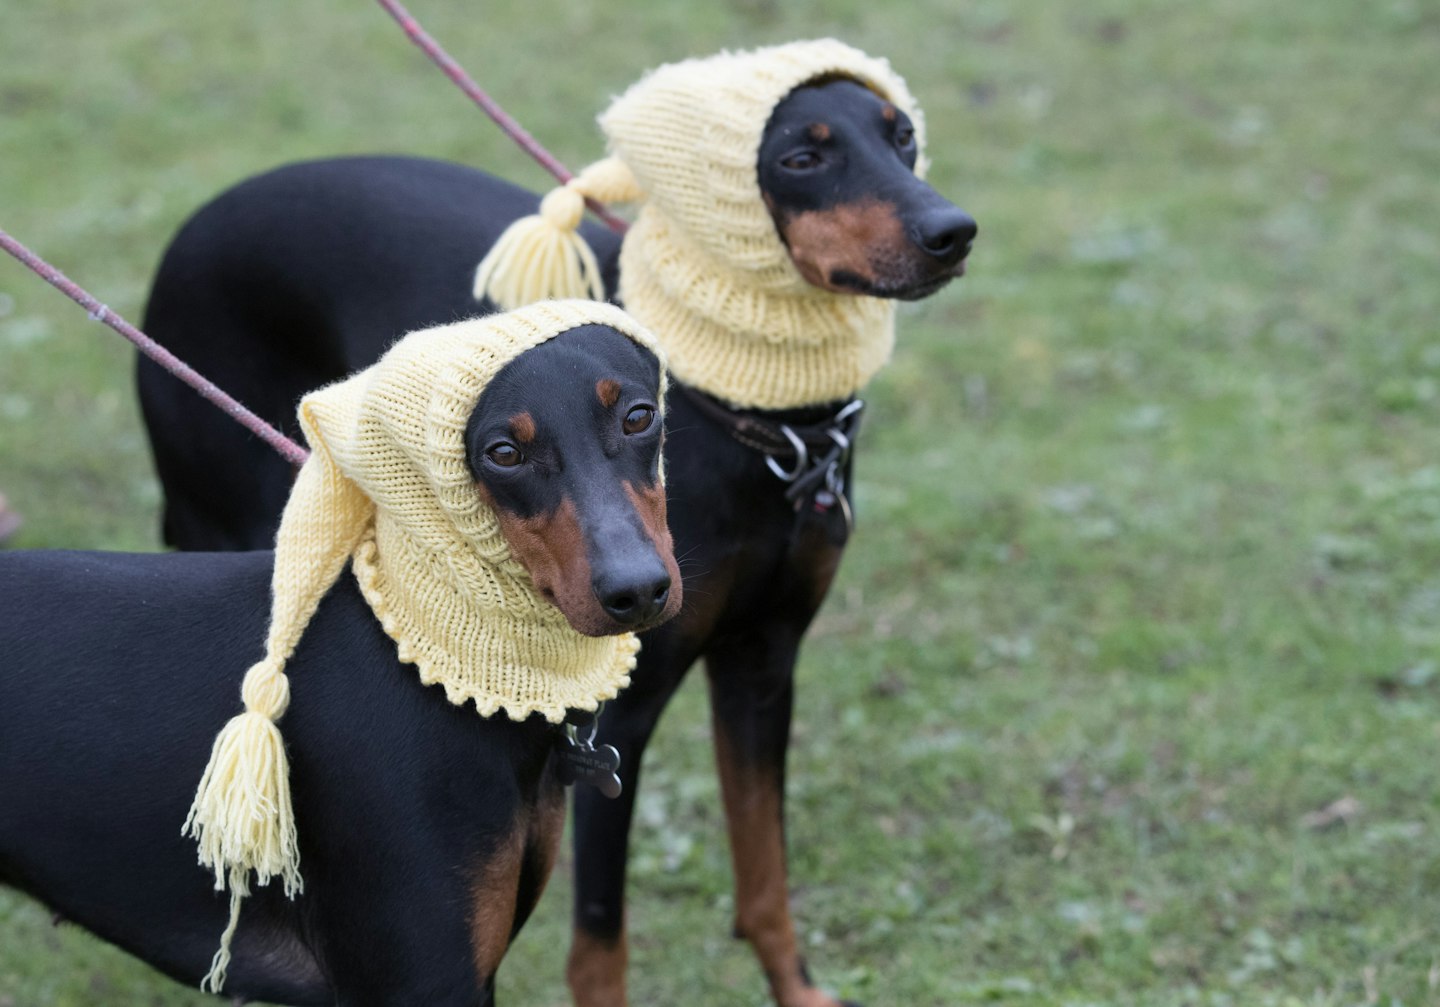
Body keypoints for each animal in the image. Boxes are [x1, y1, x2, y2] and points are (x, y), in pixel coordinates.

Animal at [137, 76, 979, 1007]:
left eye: (902, 137)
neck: (754, 417)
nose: (952, 230)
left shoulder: (763, 663)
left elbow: (766, 871)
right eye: (801, 155)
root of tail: (189, 231)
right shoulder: (620, 724)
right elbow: (601, 940)